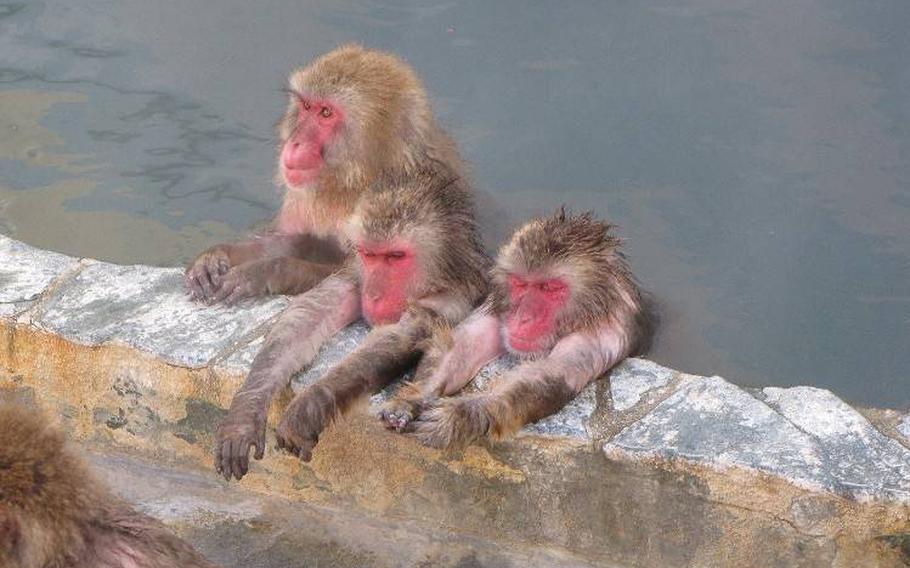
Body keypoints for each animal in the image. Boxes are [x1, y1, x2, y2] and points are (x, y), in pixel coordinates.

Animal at [188, 43, 466, 306]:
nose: (296, 142)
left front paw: (265, 271)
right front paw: (217, 255)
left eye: (326, 113)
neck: (353, 182)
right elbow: (299, 240)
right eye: (307, 106)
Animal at [216, 169, 492, 480]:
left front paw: (312, 403)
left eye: (395, 256)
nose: (373, 294)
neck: (435, 277)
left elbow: (399, 336)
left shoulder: (453, 299)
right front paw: (245, 412)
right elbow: (308, 314)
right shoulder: (356, 272)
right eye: (370, 255)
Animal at [380, 209, 656, 448]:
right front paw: (413, 398)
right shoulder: (500, 303)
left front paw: (462, 414)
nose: (523, 317)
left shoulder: (604, 331)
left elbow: (551, 374)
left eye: (550, 288)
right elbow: (465, 344)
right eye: (521, 284)